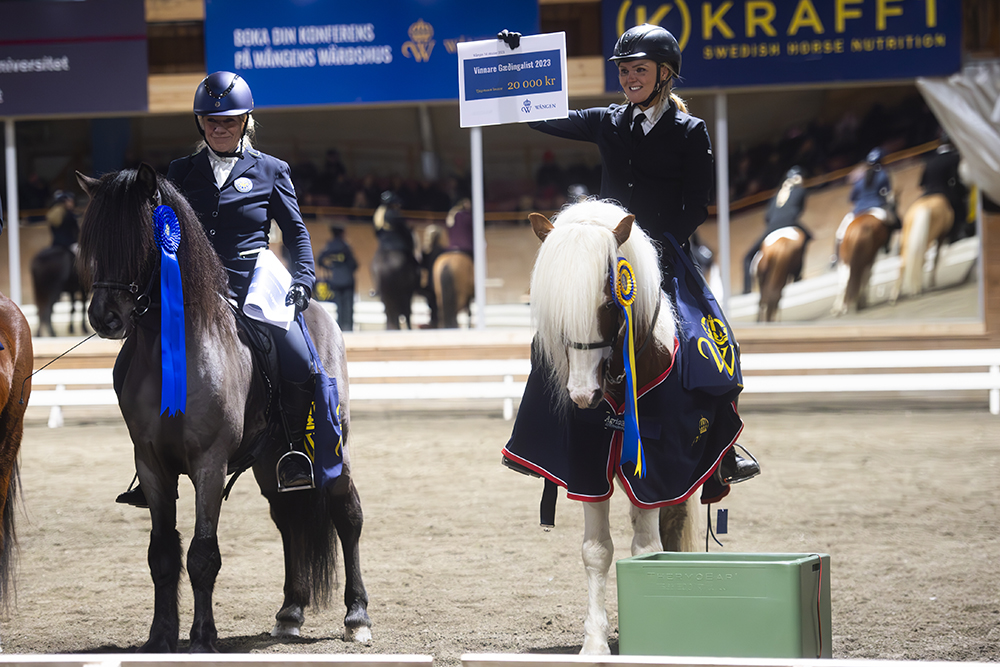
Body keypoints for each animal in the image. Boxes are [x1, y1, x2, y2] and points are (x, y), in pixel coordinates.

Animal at [75, 166, 372, 652]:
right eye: (94, 240)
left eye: (138, 237)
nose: (106, 317)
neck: (172, 348)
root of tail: (319, 313)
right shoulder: (152, 463)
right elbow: (162, 553)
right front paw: (160, 637)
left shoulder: (208, 464)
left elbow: (202, 554)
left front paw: (201, 637)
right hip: (273, 459)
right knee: (288, 519)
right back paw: (290, 612)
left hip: (334, 446)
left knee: (347, 514)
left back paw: (357, 616)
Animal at [508, 201, 744, 656]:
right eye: (556, 313)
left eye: (608, 300)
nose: (583, 394)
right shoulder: (587, 471)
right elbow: (596, 551)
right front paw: (595, 644)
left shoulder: (659, 473)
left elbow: (647, 550)